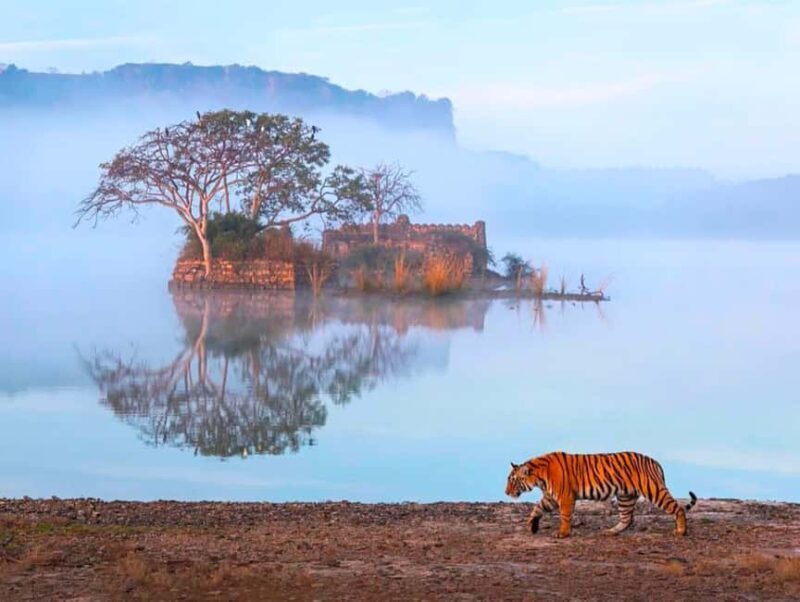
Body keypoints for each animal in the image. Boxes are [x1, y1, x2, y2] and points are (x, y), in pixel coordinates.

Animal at [505, 451, 697, 538]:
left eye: (512, 480)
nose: (506, 492)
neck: (539, 477)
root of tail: (655, 461)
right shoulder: (550, 497)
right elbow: (537, 509)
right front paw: (531, 526)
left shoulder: (565, 496)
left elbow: (564, 516)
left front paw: (563, 533)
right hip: (625, 497)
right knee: (627, 519)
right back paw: (610, 531)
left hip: (653, 490)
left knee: (678, 508)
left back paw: (681, 531)